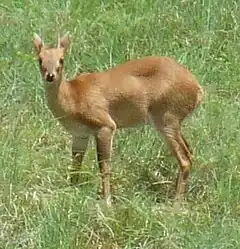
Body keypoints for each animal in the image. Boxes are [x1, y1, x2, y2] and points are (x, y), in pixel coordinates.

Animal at [32, 32, 203, 209]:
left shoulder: (105, 125)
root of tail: (198, 89)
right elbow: (76, 164)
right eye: (40, 59)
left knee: (184, 159)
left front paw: (107, 201)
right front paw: (71, 191)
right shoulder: (80, 134)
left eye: (61, 59)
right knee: (190, 153)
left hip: (166, 118)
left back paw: (176, 204)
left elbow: (104, 165)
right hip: (173, 122)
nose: (50, 76)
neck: (72, 96)